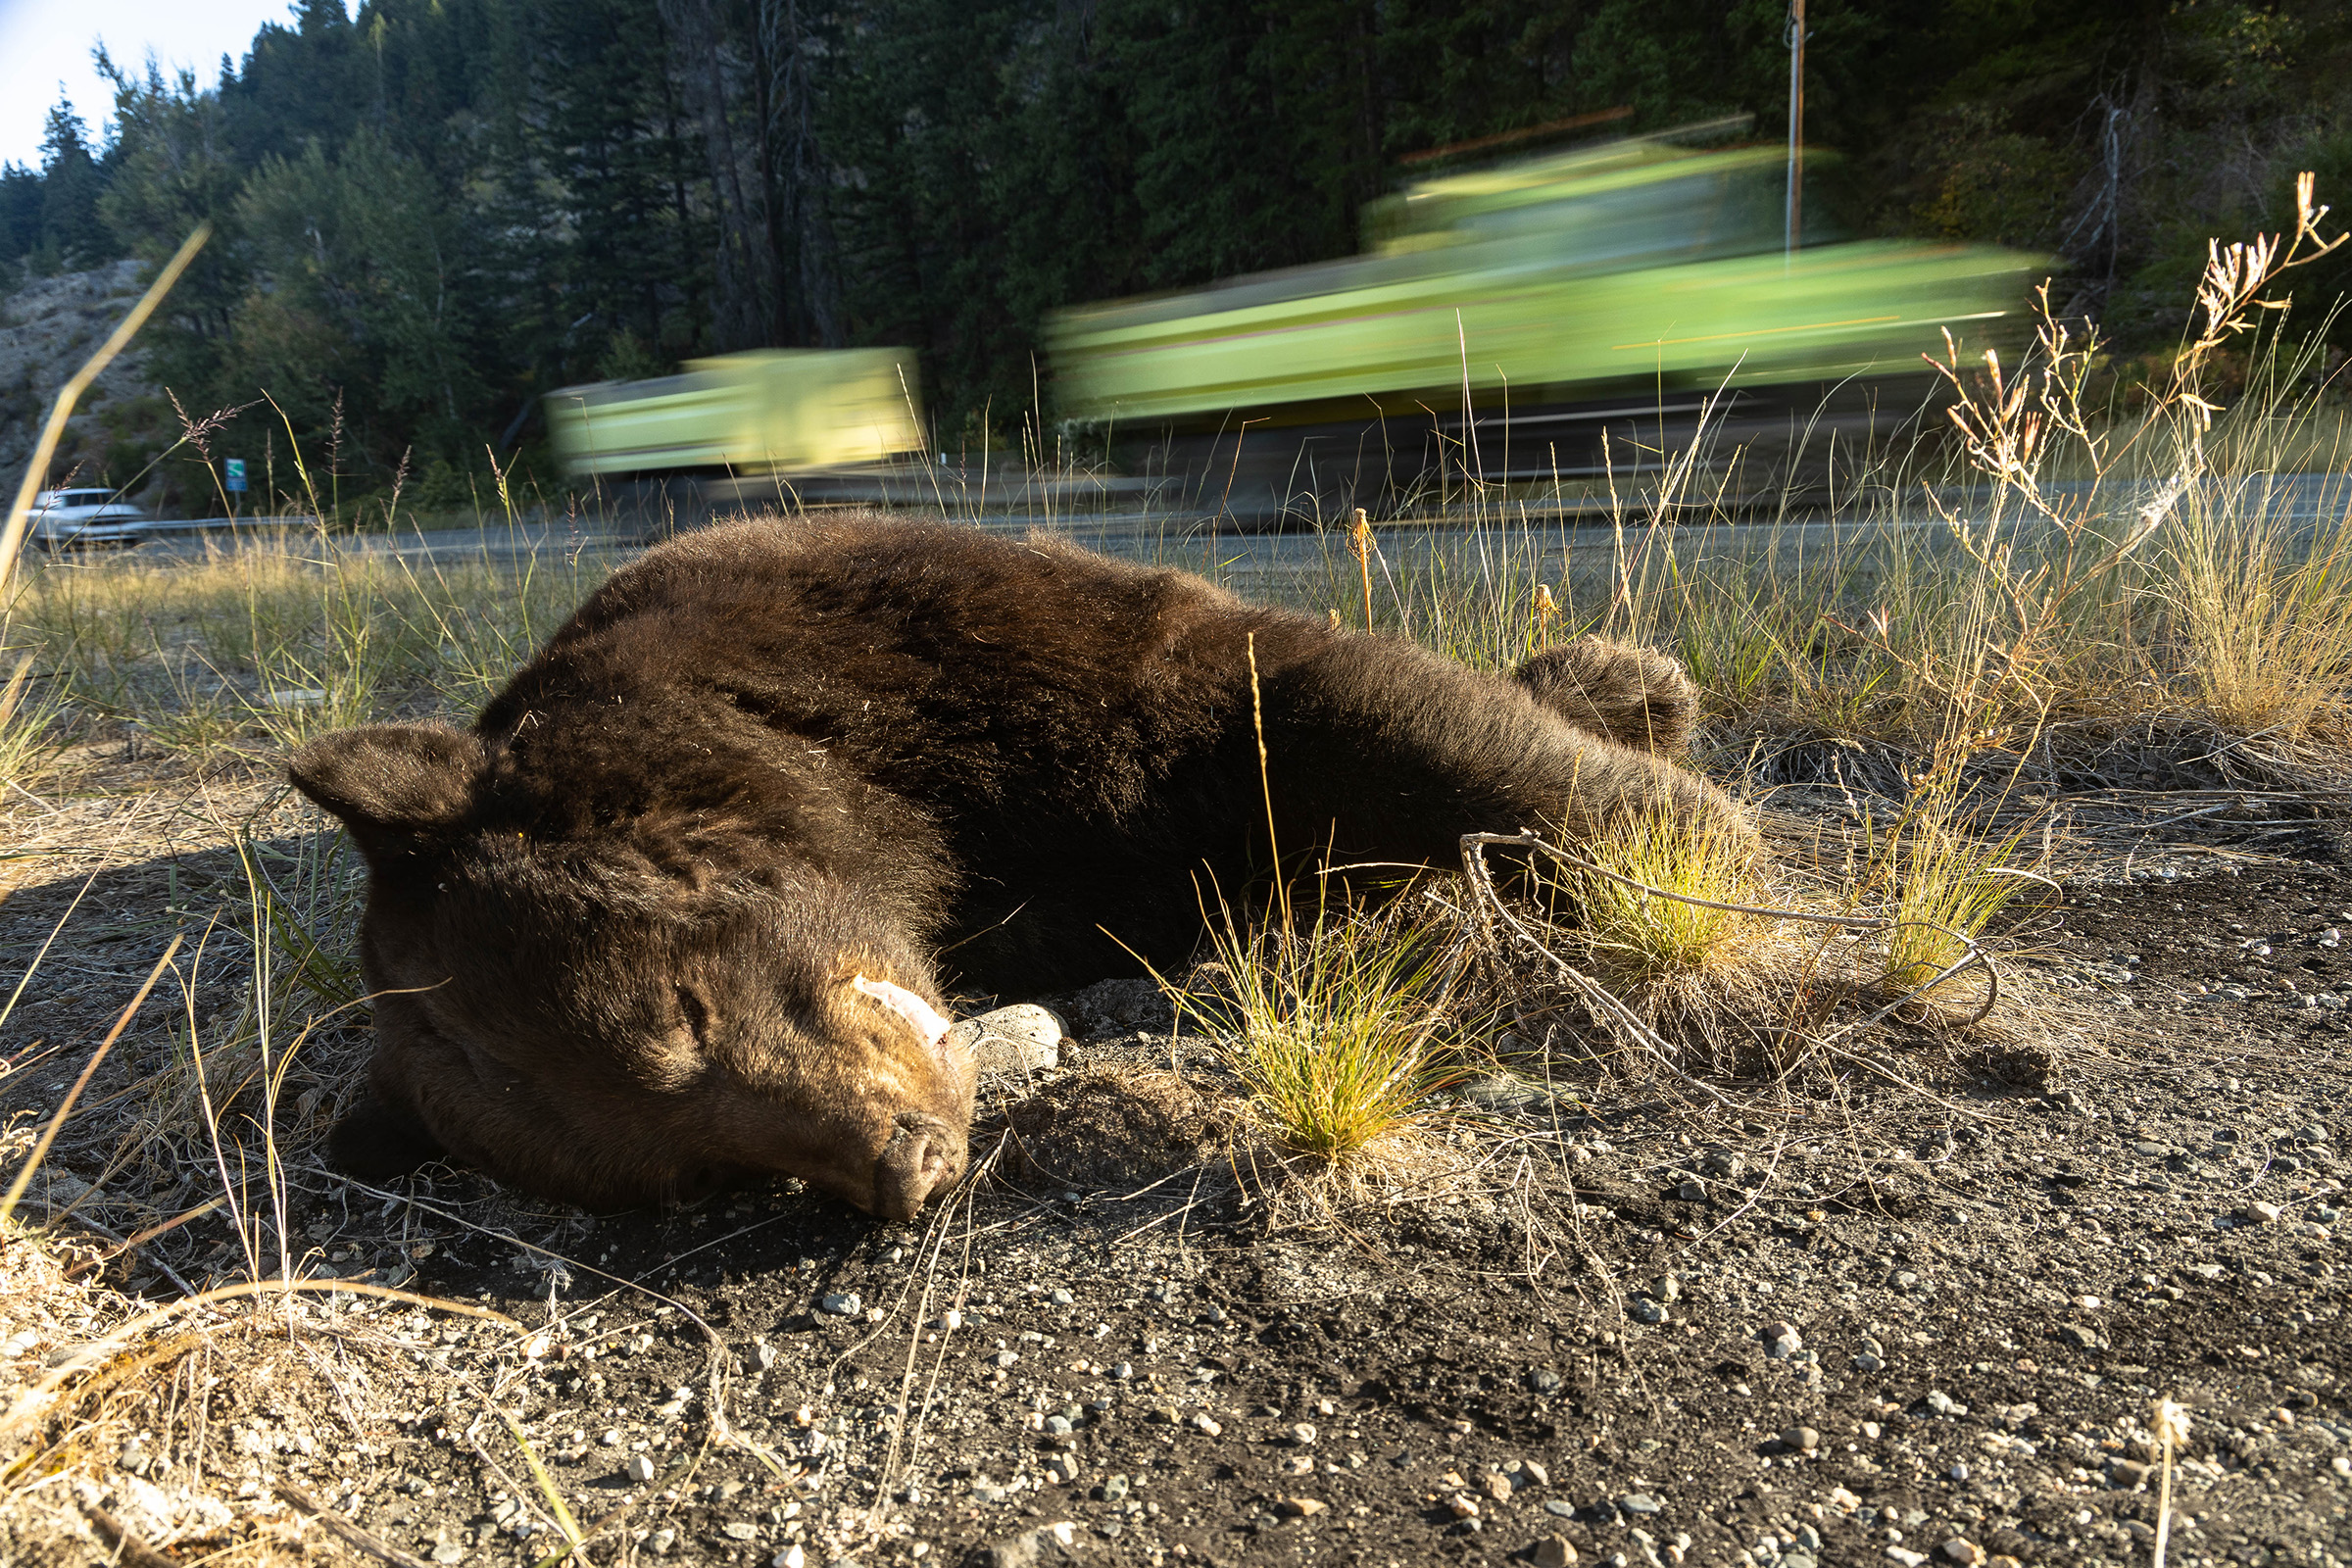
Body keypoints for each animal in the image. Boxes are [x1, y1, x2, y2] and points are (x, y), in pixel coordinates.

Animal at [288, 510, 1741, 1220]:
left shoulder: (953, 642)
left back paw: (1629, 685)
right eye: (696, 1173)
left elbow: (1315, 695)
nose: (905, 1165)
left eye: (678, 1015)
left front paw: (1686, 844)